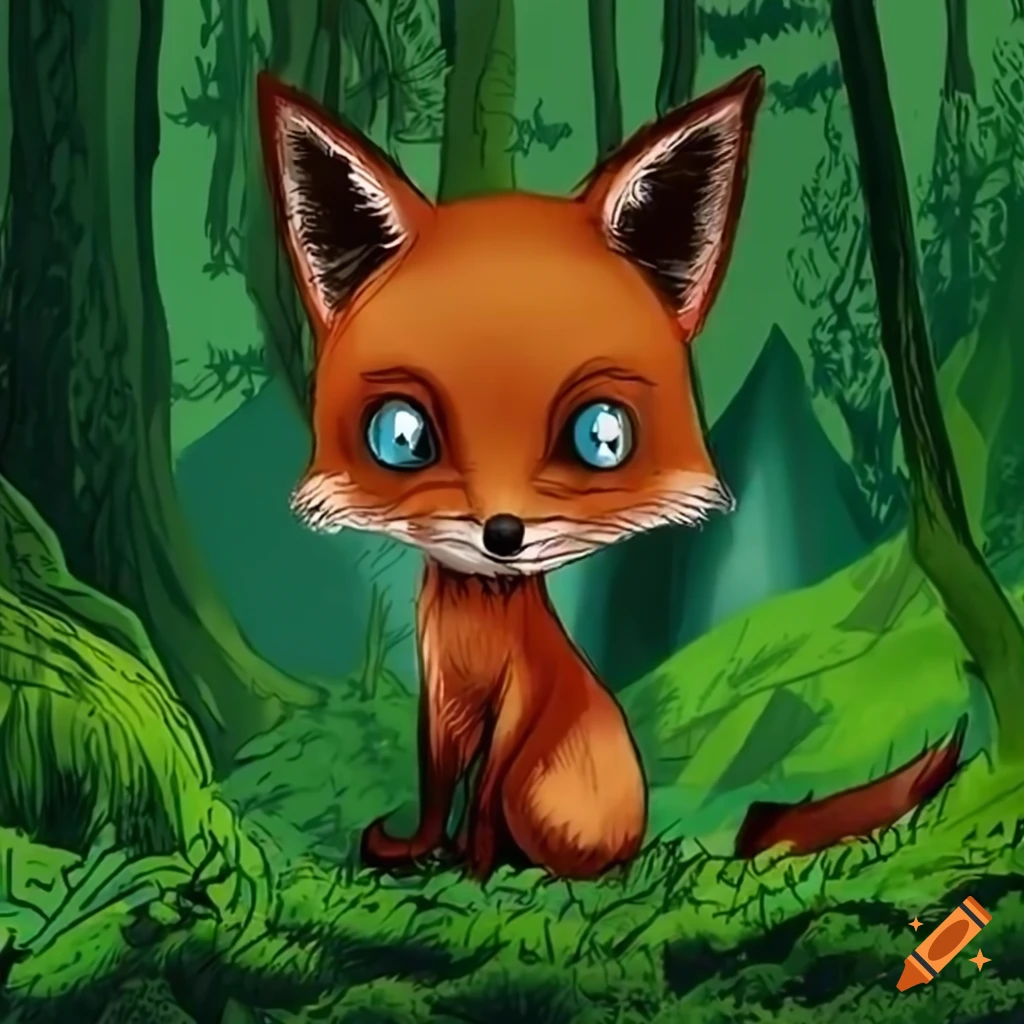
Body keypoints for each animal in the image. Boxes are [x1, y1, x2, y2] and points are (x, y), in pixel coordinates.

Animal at [256, 67, 964, 881]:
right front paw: (419, 850)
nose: (503, 535)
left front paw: (472, 867)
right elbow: (435, 785)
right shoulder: (441, 700)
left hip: (547, 789)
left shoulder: (519, 702)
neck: (477, 624)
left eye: (601, 435)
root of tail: (642, 829)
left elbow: (483, 791)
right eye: (402, 436)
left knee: (562, 841)